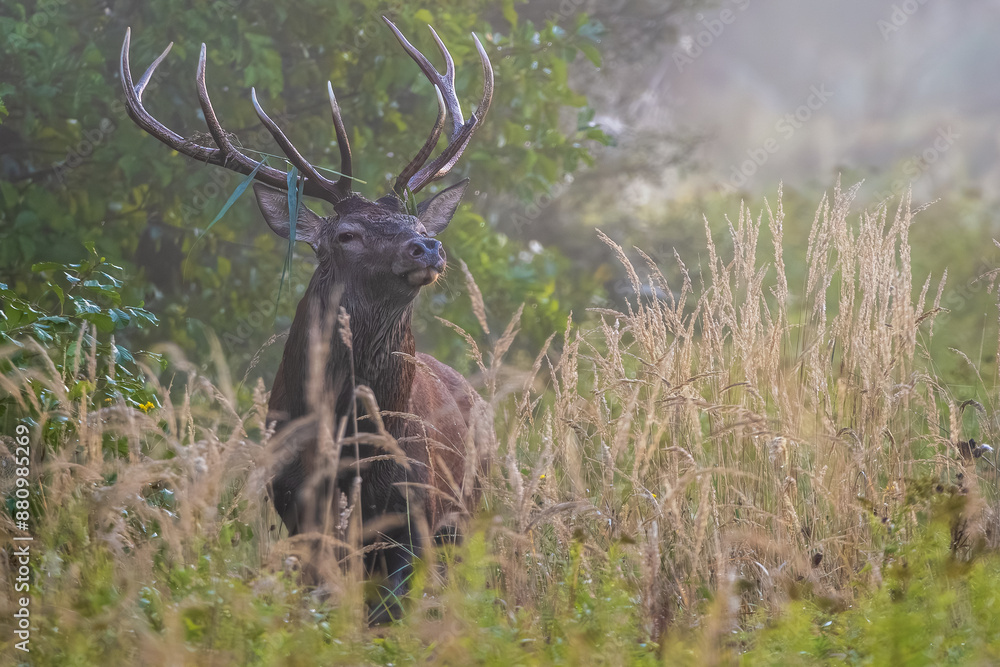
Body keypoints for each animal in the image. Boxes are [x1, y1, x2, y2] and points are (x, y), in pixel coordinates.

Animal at [120, 17, 496, 622]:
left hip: (467, 510)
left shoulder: (411, 508)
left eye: (416, 222)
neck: (348, 438)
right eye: (346, 235)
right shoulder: (294, 499)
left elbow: (386, 613)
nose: (427, 246)